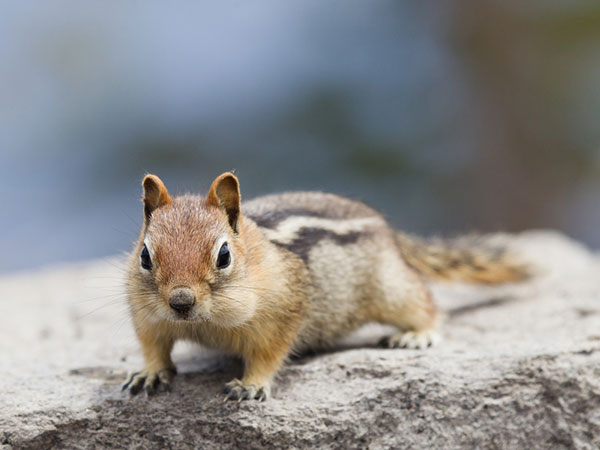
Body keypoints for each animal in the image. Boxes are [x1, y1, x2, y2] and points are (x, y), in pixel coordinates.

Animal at [123, 171, 528, 400]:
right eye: (144, 255)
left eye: (223, 255)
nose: (180, 302)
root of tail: (388, 229)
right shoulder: (146, 313)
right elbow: (153, 344)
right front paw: (149, 373)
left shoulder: (281, 311)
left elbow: (269, 354)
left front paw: (251, 385)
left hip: (391, 289)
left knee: (425, 302)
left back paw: (417, 335)